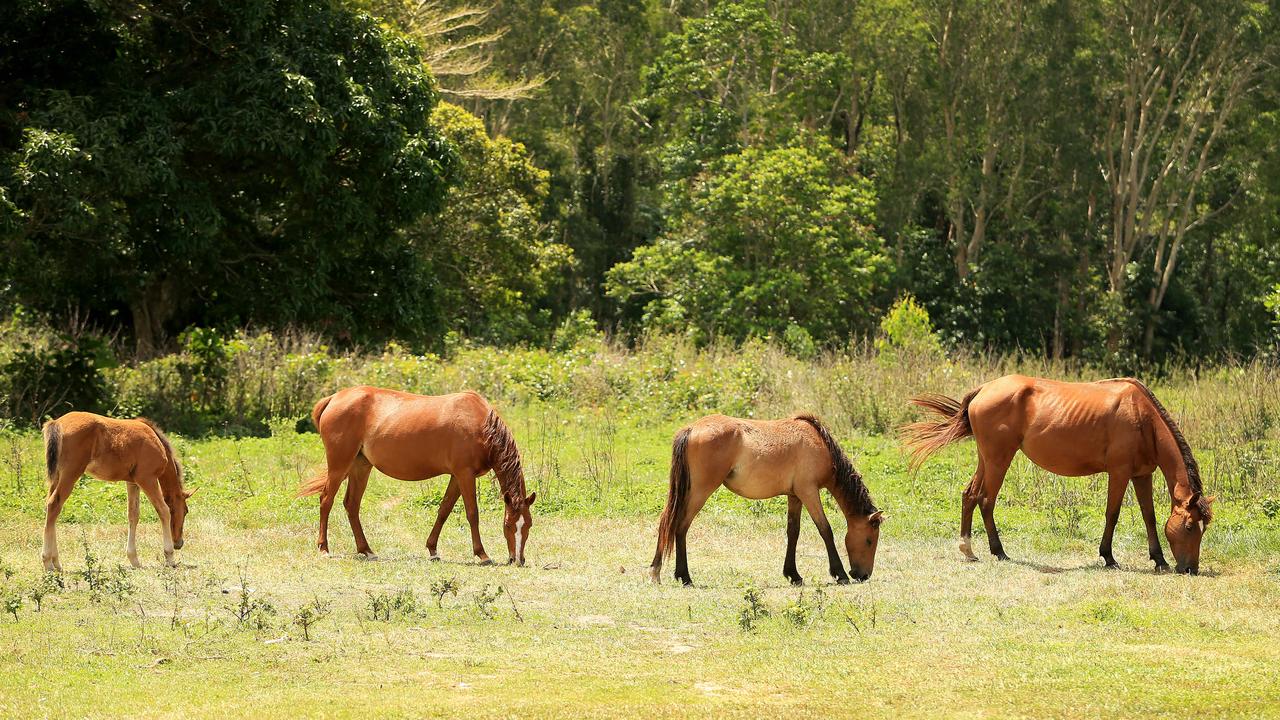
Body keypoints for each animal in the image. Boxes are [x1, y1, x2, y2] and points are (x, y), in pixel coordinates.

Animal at [40, 412, 192, 568]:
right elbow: (164, 510)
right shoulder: (147, 478)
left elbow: (133, 515)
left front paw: (134, 559)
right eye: (186, 511)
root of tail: (57, 422)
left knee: (50, 508)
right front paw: (170, 557)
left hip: (57, 476)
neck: (155, 439)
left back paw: (56, 562)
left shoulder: (133, 483)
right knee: (54, 504)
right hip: (71, 473)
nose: (179, 543)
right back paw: (48, 562)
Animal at [299, 384, 535, 563]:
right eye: (507, 525)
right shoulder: (465, 475)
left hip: (361, 467)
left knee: (351, 505)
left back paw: (366, 550)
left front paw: (432, 550)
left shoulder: (456, 477)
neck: (479, 424)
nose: (518, 560)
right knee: (326, 500)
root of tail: (334, 398)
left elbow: (444, 511)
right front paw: (482, 554)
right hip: (339, 465)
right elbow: (472, 514)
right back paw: (324, 548)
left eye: (529, 525)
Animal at [650, 412, 880, 586]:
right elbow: (825, 530)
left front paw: (793, 574)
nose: (862, 575)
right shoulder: (809, 492)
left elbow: (793, 532)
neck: (820, 445)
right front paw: (839, 574)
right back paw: (683, 577)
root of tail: (691, 429)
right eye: (869, 540)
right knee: (680, 526)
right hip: (700, 491)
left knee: (668, 522)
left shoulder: (795, 496)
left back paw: (660, 572)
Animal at [906, 376, 1213, 571]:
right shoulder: (1119, 472)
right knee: (986, 500)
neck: (1141, 416)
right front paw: (1108, 557)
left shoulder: (1142, 474)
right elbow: (1112, 514)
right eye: (1189, 527)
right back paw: (999, 552)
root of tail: (983, 389)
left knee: (970, 495)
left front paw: (1159, 559)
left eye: (1203, 528)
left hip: (987, 459)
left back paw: (968, 550)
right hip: (998, 460)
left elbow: (1149, 516)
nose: (1190, 569)